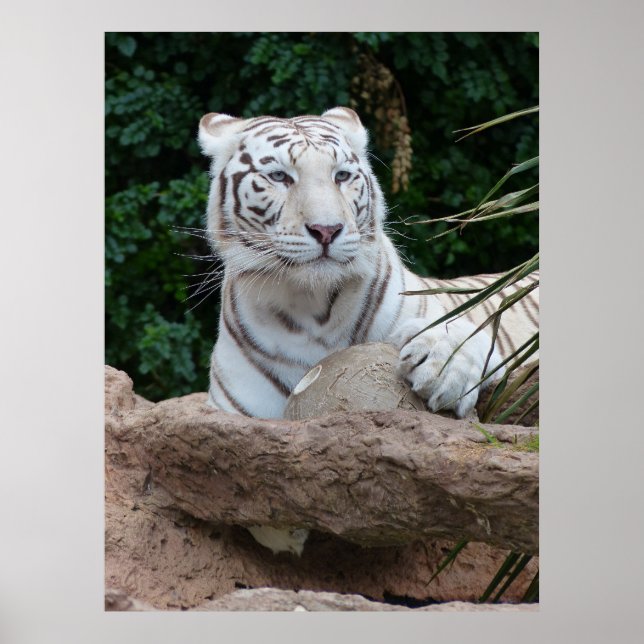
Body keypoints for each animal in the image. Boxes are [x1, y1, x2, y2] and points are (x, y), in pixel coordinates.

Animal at [197, 106, 539, 554]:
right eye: (280, 177)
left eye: (341, 175)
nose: (327, 230)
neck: (311, 309)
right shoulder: (241, 412)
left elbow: (464, 332)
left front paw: (443, 370)